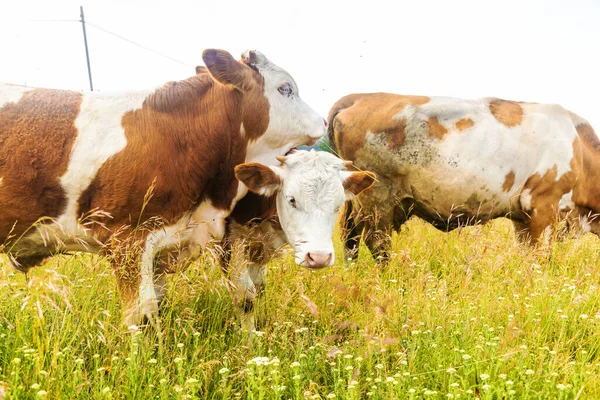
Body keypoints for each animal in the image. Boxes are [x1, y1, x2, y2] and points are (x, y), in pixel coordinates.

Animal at [220, 150, 376, 332]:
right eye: (291, 199)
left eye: (338, 205)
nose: (319, 257)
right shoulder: (230, 244)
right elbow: (245, 298)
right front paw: (249, 337)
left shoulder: (258, 249)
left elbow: (260, 288)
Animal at [328, 93, 600, 262]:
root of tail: (361, 97)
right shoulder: (543, 208)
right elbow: (538, 259)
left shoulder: (522, 218)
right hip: (378, 198)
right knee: (377, 243)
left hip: (357, 198)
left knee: (349, 237)